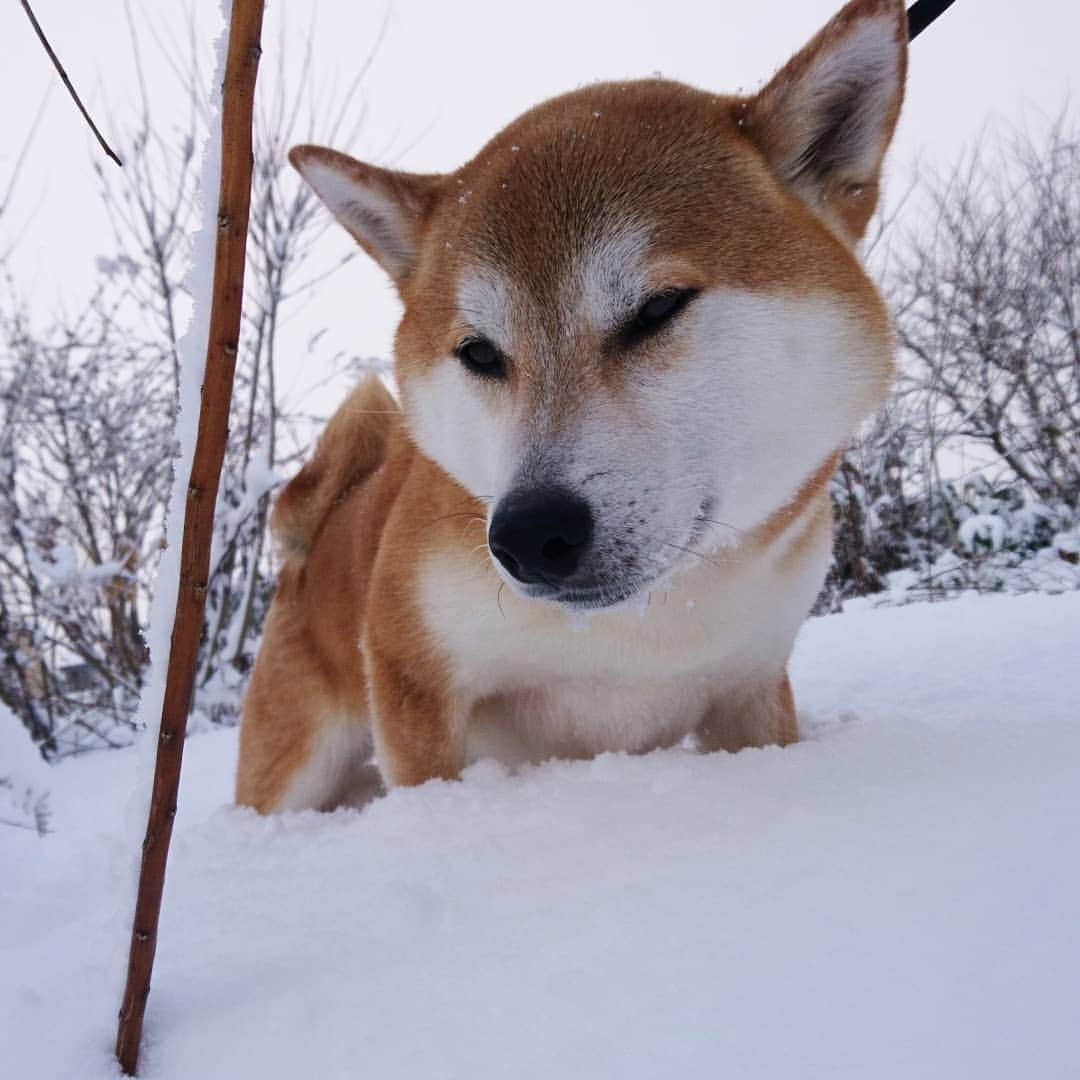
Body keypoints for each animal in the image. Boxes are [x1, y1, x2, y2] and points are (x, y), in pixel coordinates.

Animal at [234, 0, 902, 812]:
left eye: (657, 308)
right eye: (479, 352)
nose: (529, 533)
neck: (649, 625)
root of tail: (309, 548)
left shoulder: (750, 691)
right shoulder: (414, 686)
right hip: (295, 770)